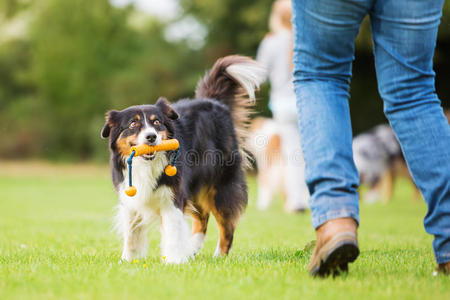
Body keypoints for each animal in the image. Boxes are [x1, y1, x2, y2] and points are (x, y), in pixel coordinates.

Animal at [100, 55, 266, 262]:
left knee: (226, 225)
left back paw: (218, 255)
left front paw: (174, 261)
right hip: (196, 185)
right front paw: (128, 260)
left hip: (220, 184)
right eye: (133, 124)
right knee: (202, 217)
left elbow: (173, 231)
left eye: (156, 122)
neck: (146, 165)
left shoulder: (173, 196)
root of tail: (214, 102)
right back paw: (191, 249)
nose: (151, 137)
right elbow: (131, 233)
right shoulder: (129, 197)